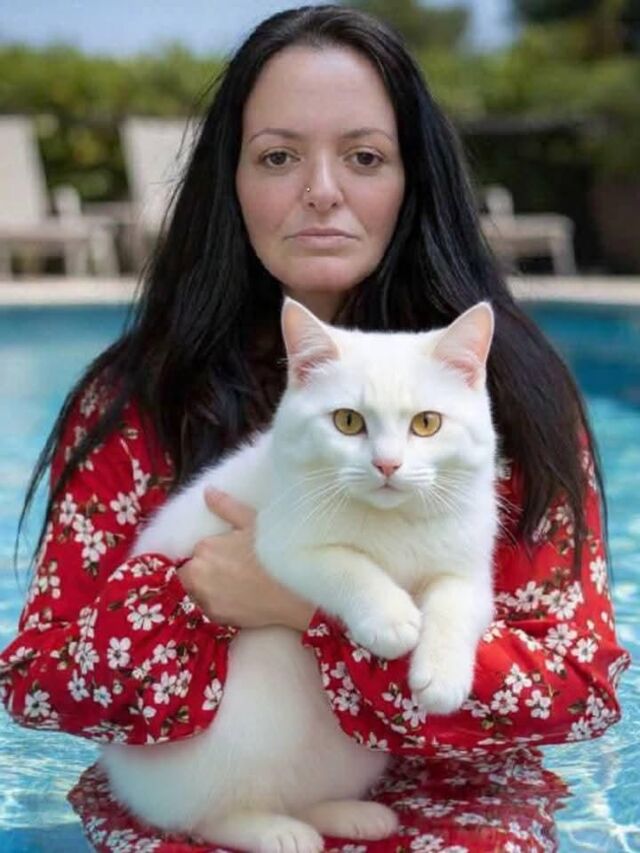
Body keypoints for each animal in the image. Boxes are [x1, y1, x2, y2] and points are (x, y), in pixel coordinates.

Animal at [101, 298, 498, 853]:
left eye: (427, 424)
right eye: (348, 422)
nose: (388, 465)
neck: (392, 521)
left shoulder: (469, 573)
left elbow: (455, 604)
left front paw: (442, 674)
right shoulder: (279, 544)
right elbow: (347, 564)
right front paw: (390, 619)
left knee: (305, 794)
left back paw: (350, 816)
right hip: (238, 738)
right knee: (201, 816)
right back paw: (276, 831)